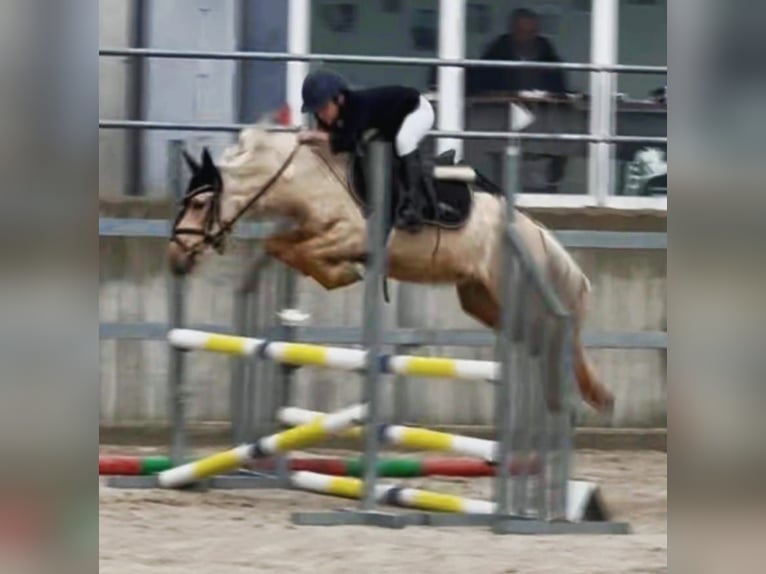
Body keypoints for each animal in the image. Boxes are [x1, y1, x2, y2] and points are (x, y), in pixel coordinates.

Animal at [167, 124, 614, 413]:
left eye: (200, 203)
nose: (175, 258)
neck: (307, 179)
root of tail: (534, 231)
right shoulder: (310, 231)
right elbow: (279, 245)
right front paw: (332, 277)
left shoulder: (353, 234)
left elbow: (305, 250)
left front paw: (342, 274)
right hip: (482, 299)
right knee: (541, 341)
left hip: (515, 292)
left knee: (557, 335)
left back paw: (587, 396)